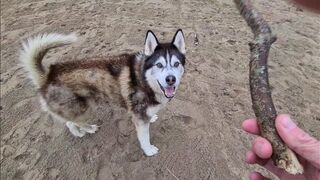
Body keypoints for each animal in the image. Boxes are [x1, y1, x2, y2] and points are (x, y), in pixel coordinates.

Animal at [20, 29, 185, 156]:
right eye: (159, 65)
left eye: (176, 64)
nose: (171, 79)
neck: (144, 79)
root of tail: (48, 76)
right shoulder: (139, 118)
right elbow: (144, 138)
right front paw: (149, 151)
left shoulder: (142, 114)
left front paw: (152, 118)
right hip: (84, 108)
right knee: (73, 121)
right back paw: (87, 129)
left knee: (68, 121)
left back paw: (79, 132)